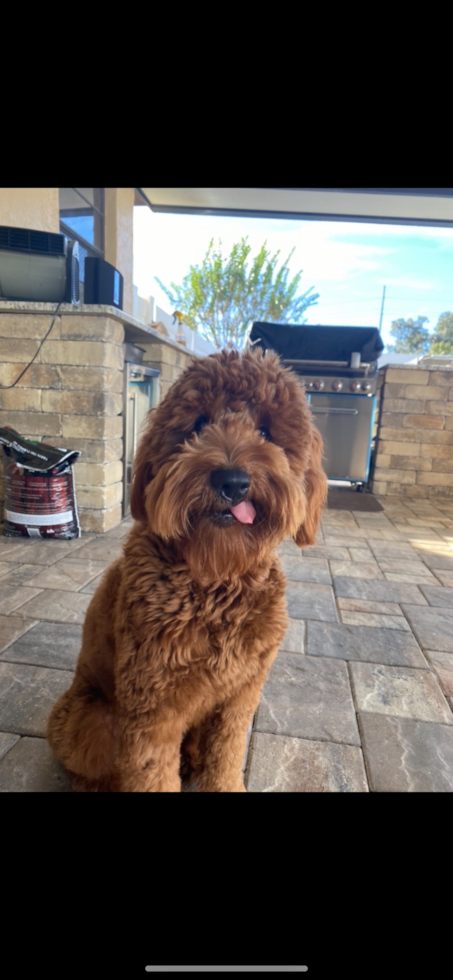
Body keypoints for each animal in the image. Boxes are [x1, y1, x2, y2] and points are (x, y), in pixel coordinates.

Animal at [46, 348, 324, 792]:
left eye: (266, 430)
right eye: (198, 424)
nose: (233, 481)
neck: (215, 577)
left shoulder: (240, 696)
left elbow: (226, 757)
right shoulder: (153, 704)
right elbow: (152, 773)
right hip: (92, 721)